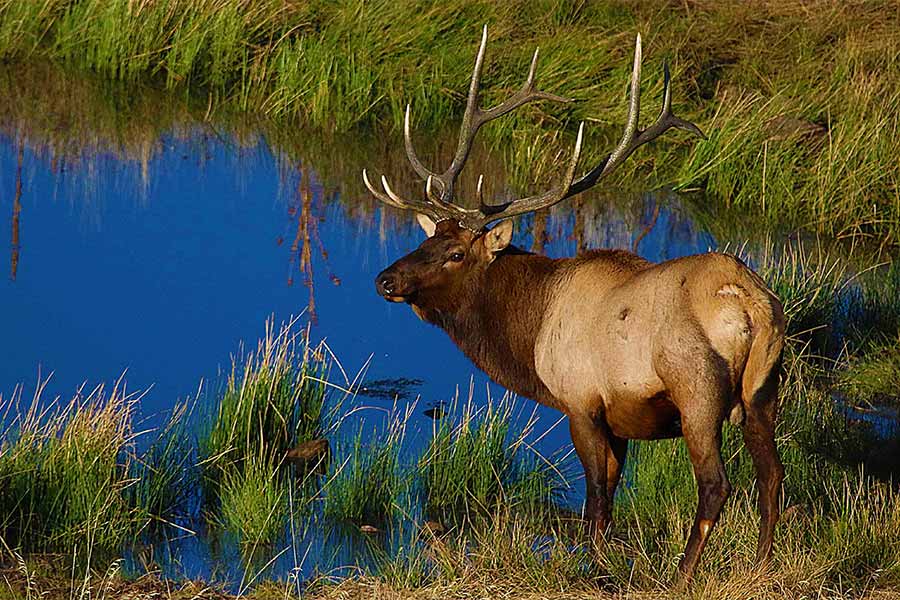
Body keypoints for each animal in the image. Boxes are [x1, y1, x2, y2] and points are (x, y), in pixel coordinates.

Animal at [362, 28, 784, 580]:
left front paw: (590, 567)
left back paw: (683, 573)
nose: (386, 280)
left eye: (455, 254)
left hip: (696, 390)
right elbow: (610, 494)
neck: (529, 331)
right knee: (772, 476)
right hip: (763, 389)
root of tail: (748, 302)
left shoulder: (580, 402)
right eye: (428, 240)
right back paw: (762, 565)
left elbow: (596, 497)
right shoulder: (619, 419)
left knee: (716, 485)